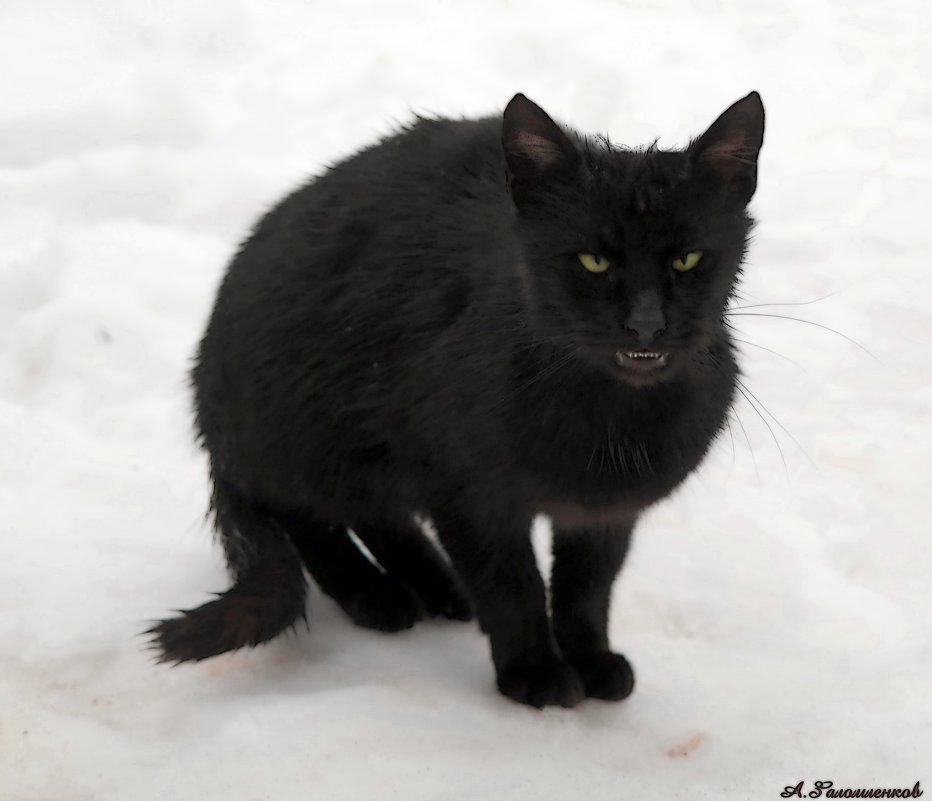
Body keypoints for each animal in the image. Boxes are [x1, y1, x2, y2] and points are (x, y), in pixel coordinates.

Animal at [151, 90, 764, 708]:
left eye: (687, 259)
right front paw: (534, 674)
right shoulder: (467, 492)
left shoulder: (605, 511)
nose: (645, 325)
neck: (612, 425)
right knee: (304, 514)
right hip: (302, 429)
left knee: (375, 512)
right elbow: (511, 586)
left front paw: (591, 661)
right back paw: (375, 595)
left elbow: (587, 589)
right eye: (594, 261)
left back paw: (435, 585)